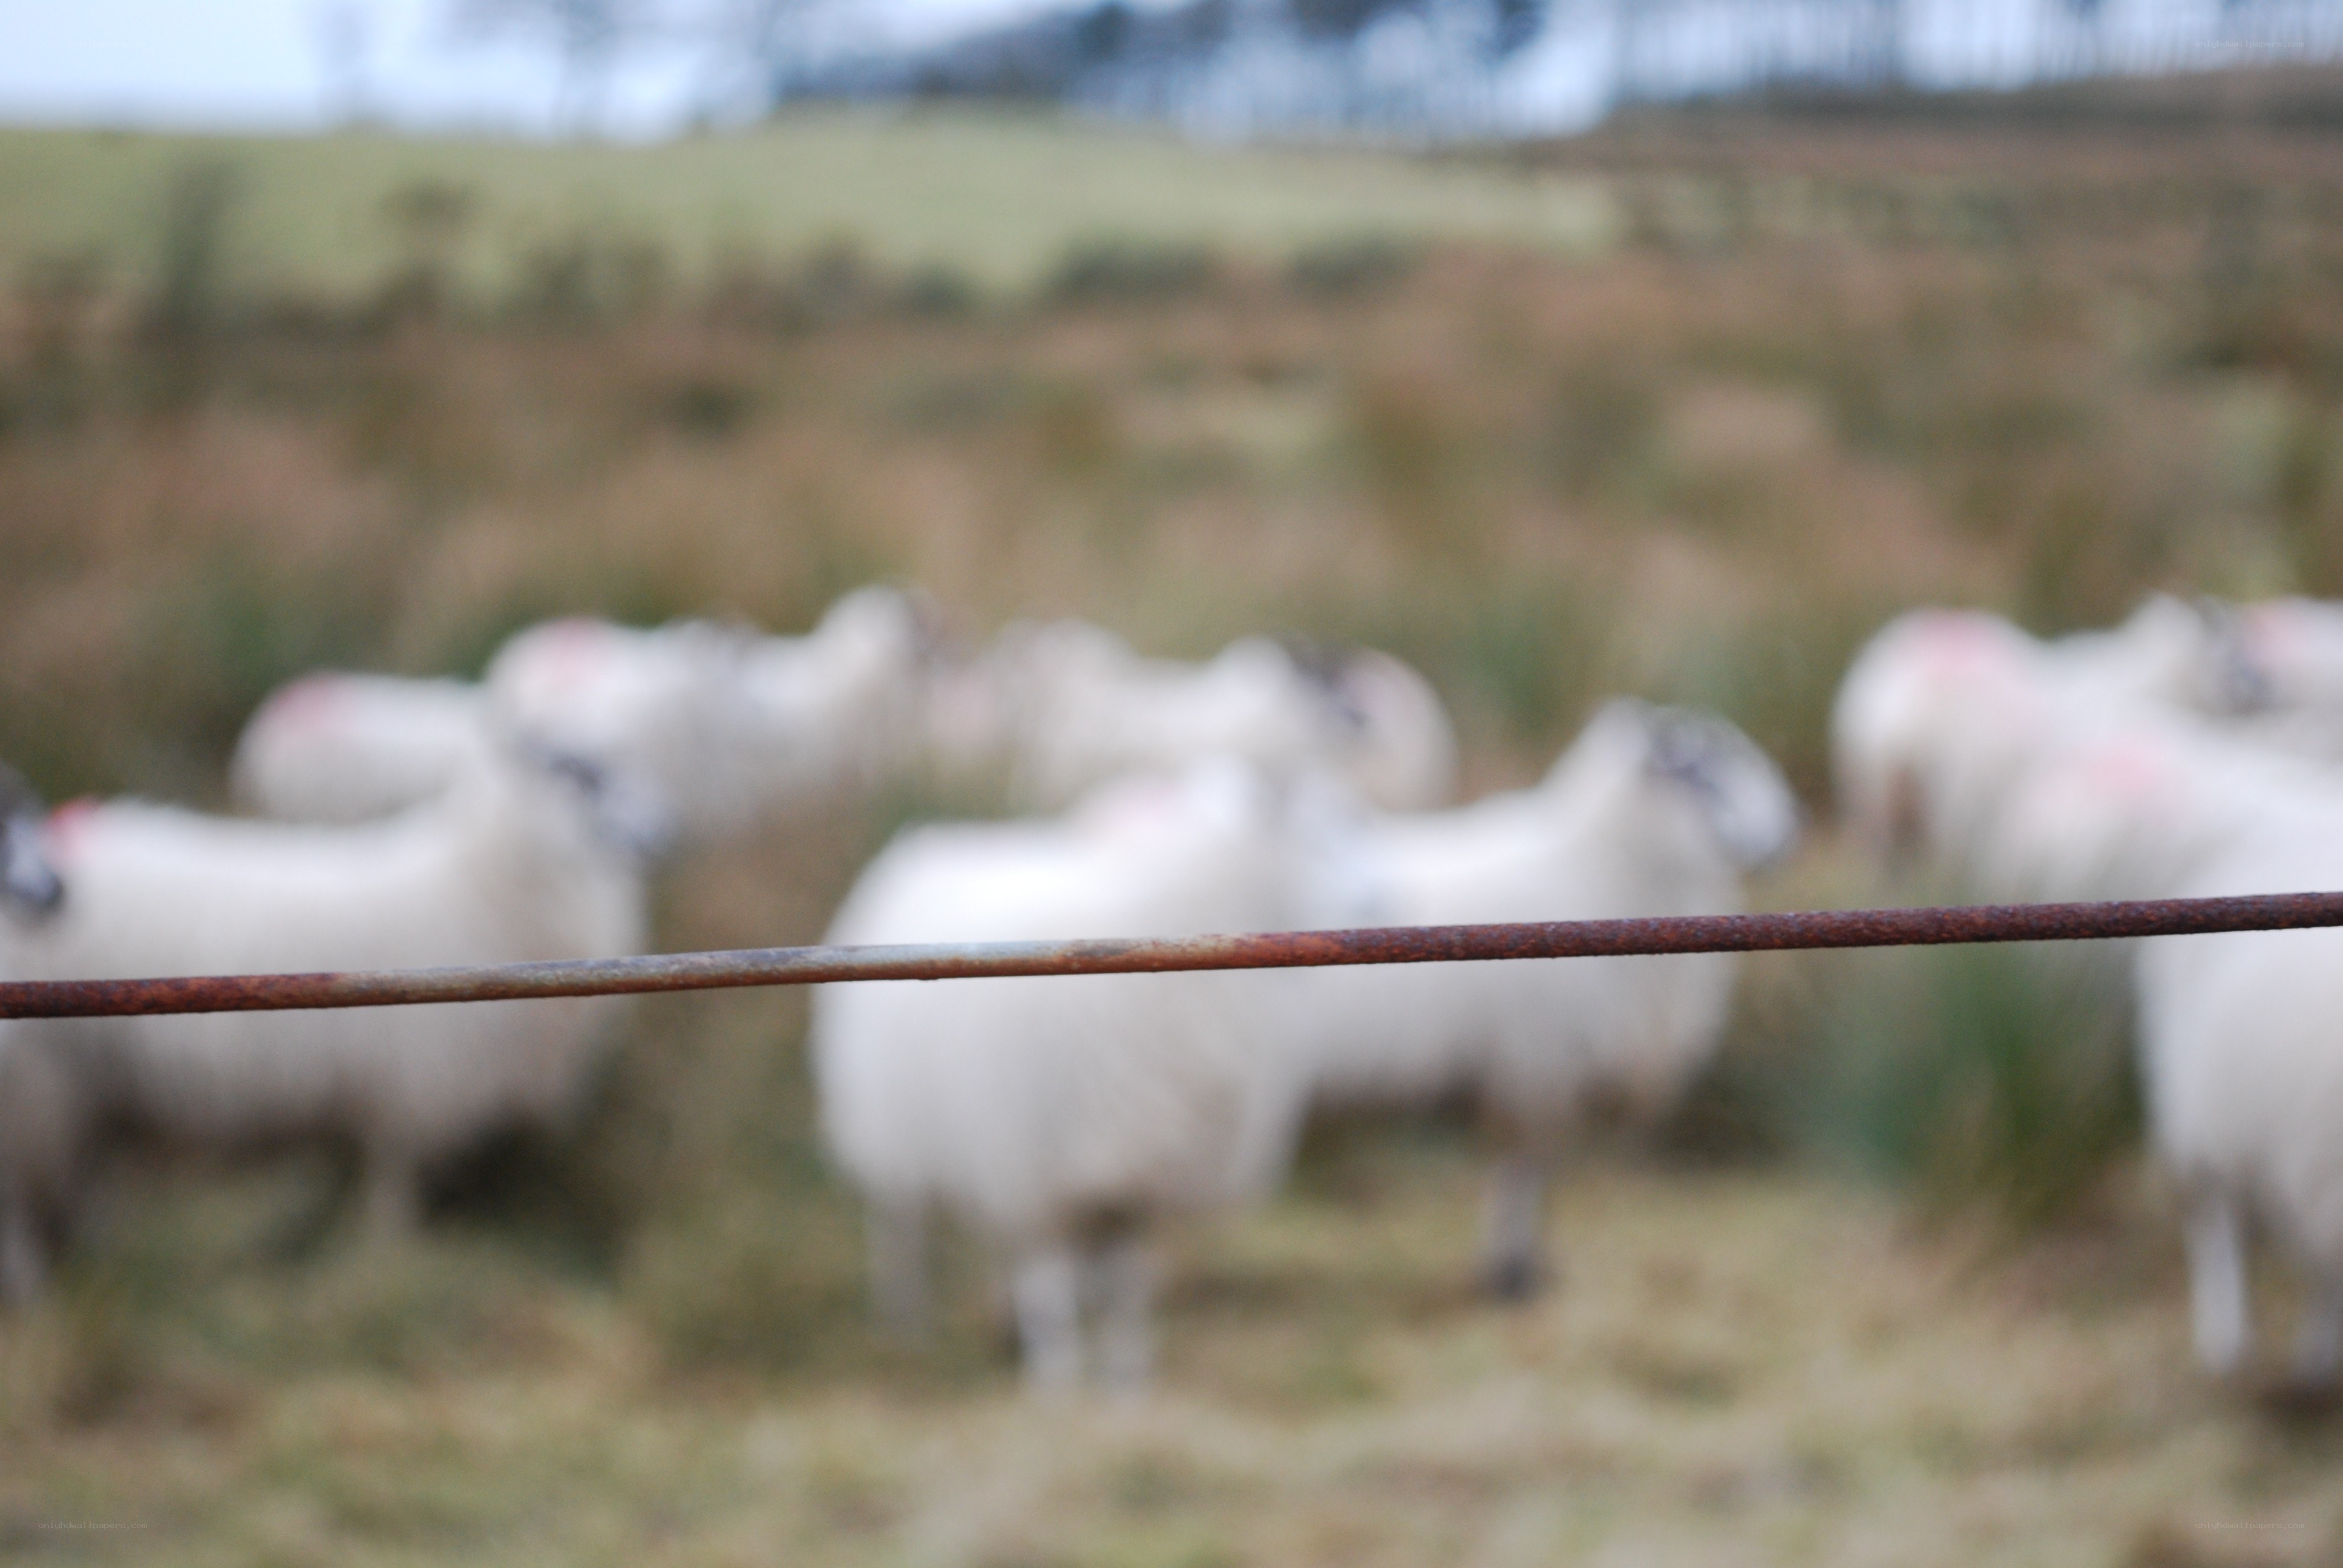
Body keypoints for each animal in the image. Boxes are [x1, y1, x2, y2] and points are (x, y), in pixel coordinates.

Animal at [0, 731, 668, 1299]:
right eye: (577, 774)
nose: (662, 831)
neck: (480, 882)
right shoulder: (415, 1088)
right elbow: (395, 1183)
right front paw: (389, 1254)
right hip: (39, 1090)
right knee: (27, 1207)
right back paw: (39, 1290)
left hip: (94, 1095)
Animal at [809, 759, 1344, 1391]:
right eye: (1320, 828)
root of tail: (932, 842)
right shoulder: (1039, 1169)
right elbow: (1049, 1282)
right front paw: (1059, 1380)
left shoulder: (1134, 1176)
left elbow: (1127, 1288)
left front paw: (1125, 1380)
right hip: (899, 1124)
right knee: (900, 1229)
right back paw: (905, 1323)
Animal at [1298, 700, 1799, 1298]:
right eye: (1705, 773)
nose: (1787, 836)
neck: (1599, 868)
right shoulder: (1536, 1069)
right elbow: (1523, 1173)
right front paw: (1513, 1276)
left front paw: (1532, 1268)